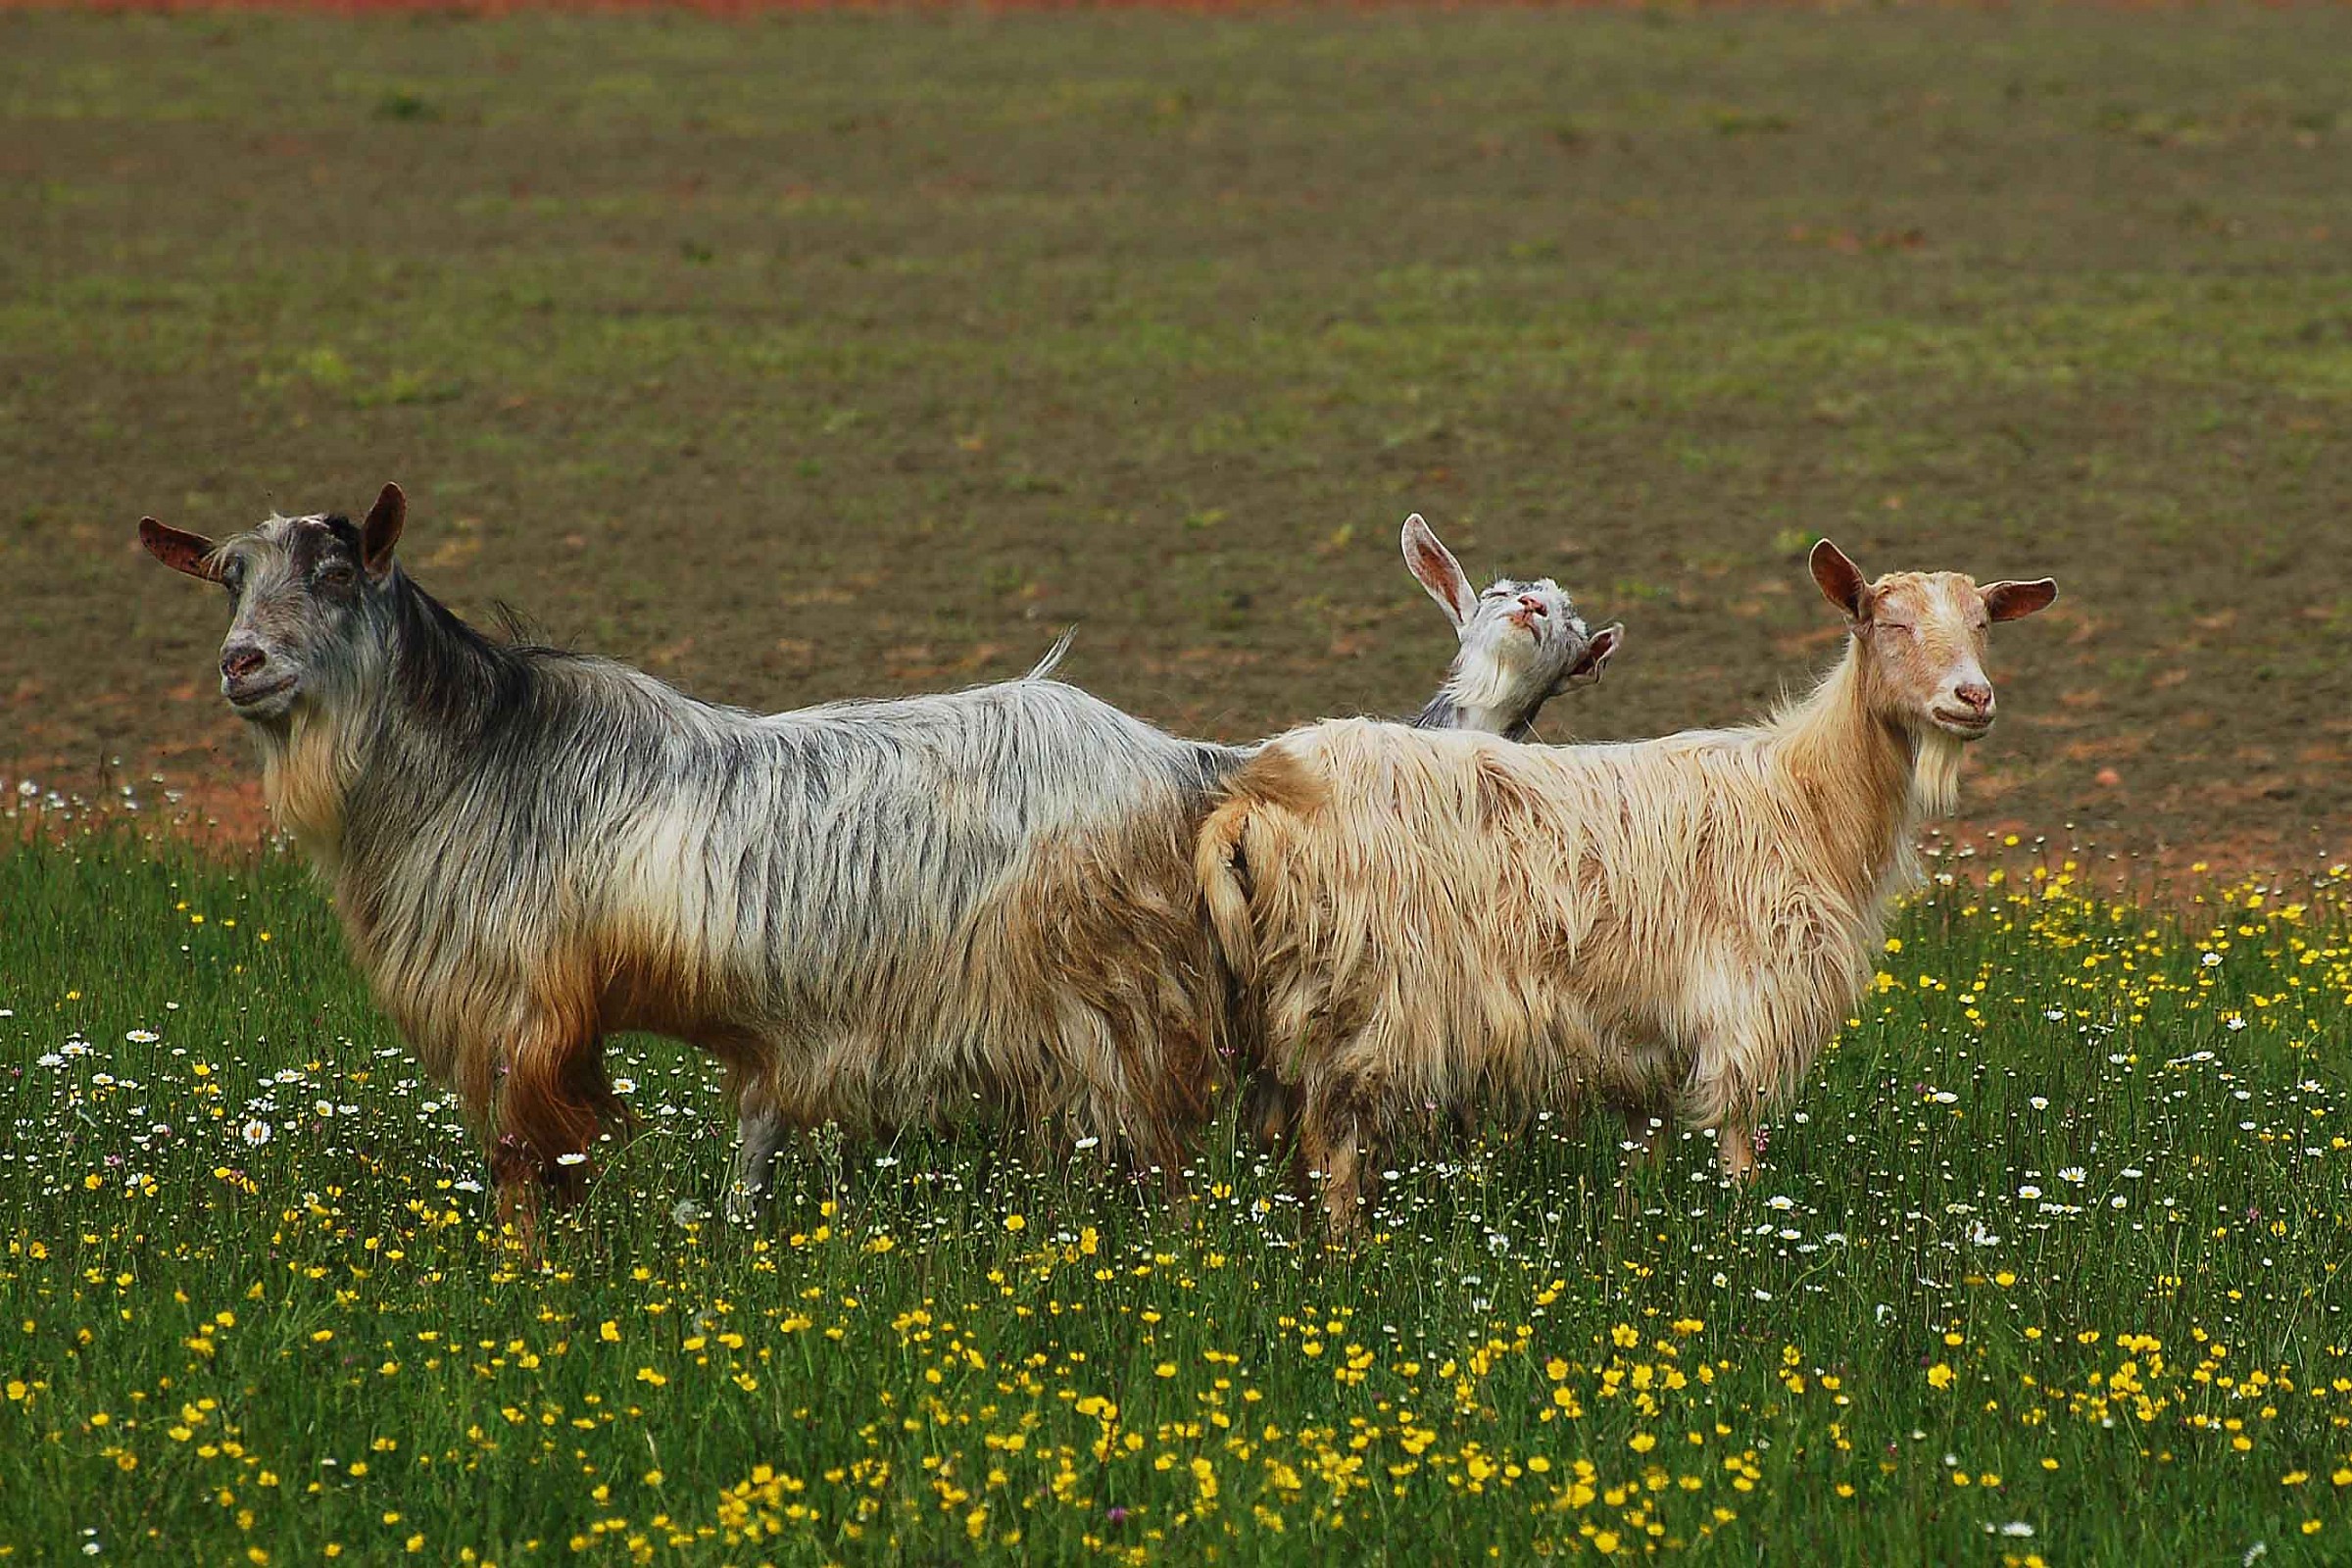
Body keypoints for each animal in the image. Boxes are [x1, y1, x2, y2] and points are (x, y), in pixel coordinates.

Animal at [139, 486, 1239, 1241]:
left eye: (335, 576)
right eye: (233, 582)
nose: (241, 663)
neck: (482, 756)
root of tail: (1177, 758)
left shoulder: (529, 1006)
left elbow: (528, 1156)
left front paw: (525, 1274)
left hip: (1105, 1004)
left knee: (1150, 1151)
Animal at [1197, 540, 2056, 1236]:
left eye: (1983, 624)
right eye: (1888, 623)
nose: (1973, 698)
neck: (1805, 795)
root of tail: (1254, 796)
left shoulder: (1650, 1043)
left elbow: (1644, 1163)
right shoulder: (1745, 1006)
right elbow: (1741, 1154)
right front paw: (1746, 1245)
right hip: (1361, 997)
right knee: (1333, 1150)